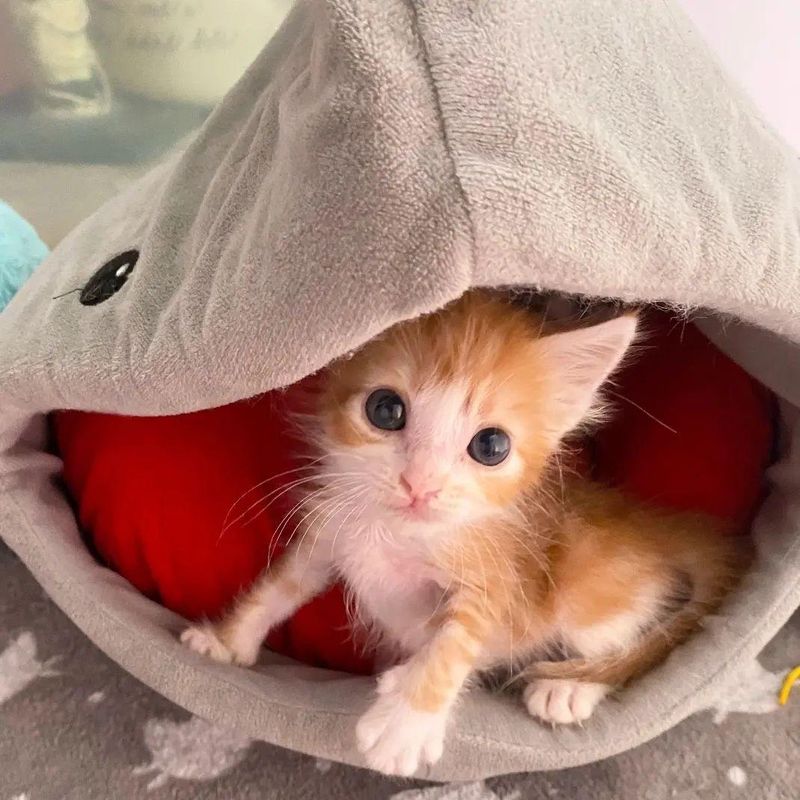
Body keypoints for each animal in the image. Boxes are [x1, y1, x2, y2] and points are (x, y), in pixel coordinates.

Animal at [180, 292, 744, 776]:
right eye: (385, 409)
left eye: (490, 446)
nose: (420, 485)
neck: (401, 533)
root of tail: (645, 519)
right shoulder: (329, 536)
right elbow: (280, 587)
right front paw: (225, 642)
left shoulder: (502, 576)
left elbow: (459, 638)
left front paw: (407, 722)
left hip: (590, 599)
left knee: (633, 640)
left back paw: (570, 690)